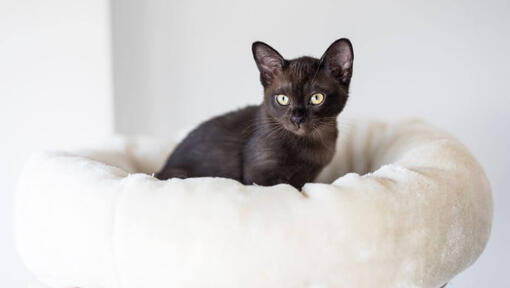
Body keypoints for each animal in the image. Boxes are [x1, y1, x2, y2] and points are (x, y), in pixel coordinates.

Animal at [156, 37, 354, 189]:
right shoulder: (259, 176)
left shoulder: (309, 177)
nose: (297, 118)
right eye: (283, 99)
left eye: (317, 98)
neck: (310, 144)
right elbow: (286, 186)